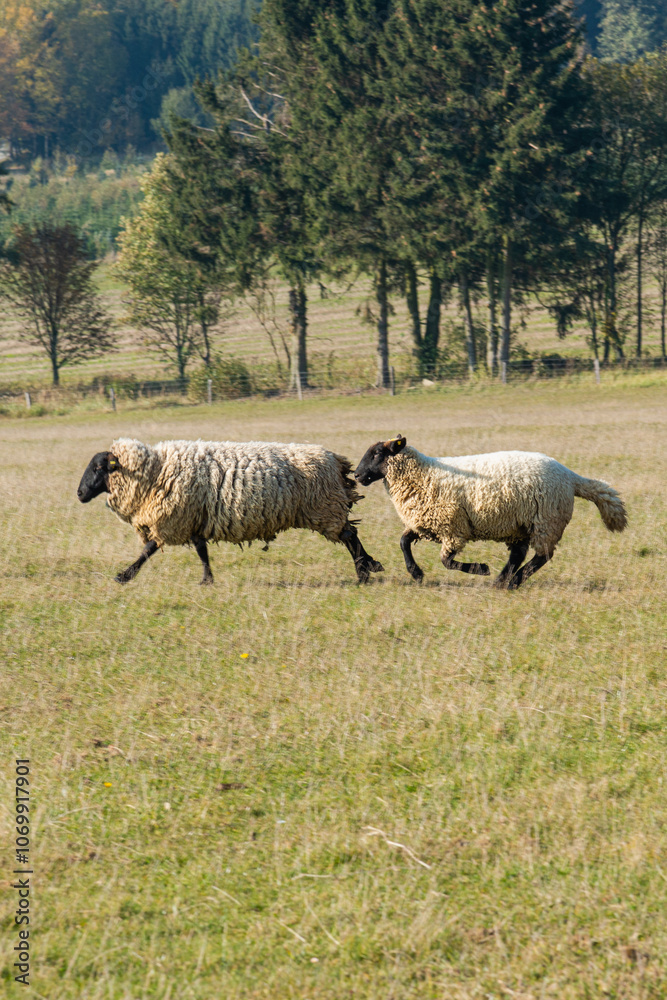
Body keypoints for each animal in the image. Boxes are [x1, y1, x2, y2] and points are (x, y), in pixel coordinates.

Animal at [77, 438, 384, 585]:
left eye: (99, 467)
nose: (79, 494)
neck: (156, 471)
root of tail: (333, 459)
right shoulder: (193, 519)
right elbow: (201, 551)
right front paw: (207, 579)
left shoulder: (172, 520)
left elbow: (147, 550)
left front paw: (124, 576)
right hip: (327, 507)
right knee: (350, 534)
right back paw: (368, 567)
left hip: (324, 507)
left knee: (350, 536)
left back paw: (364, 572)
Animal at [354, 435, 627, 589]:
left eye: (377, 453)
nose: (356, 475)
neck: (423, 474)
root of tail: (571, 477)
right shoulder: (425, 524)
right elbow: (403, 542)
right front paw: (416, 574)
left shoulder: (453, 528)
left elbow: (447, 561)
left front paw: (480, 568)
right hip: (522, 525)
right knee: (519, 555)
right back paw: (502, 581)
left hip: (546, 521)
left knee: (542, 556)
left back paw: (512, 581)